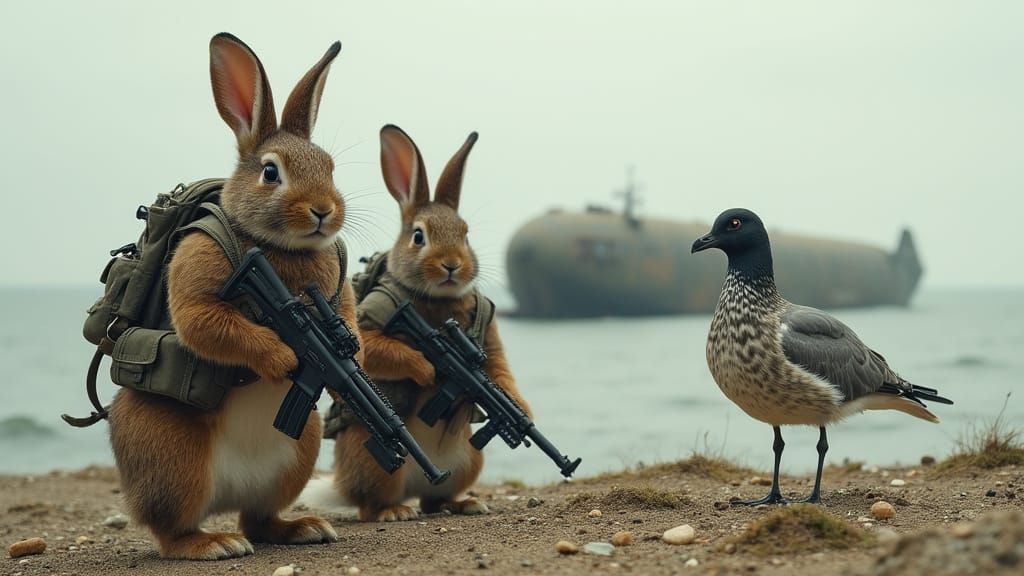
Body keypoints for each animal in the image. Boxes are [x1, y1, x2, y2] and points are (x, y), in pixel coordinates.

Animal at [107, 33, 358, 560]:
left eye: (329, 167)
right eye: (271, 173)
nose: (323, 210)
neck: (278, 247)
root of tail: (228, 494)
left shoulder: (339, 290)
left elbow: (348, 317)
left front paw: (353, 356)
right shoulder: (200, 269)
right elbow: (205, 321)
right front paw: (283, 357)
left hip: (300, 447)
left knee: (259, 517)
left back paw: (301, 527)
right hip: (173, 457)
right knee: (170, 528)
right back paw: (212, 543)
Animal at [330, 125, 532, 522]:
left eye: (466, 234)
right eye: (418, 236)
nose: (452, 264)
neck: (439, 301)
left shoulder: (490, 335)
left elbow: (500, 368)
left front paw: (522, 411)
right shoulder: (372, 320)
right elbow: (377, 349)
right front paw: (426, 371)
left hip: (469, 459)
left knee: (433, 499)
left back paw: (464, 503)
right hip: (373, 461)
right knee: (370, 502)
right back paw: (393, 511)